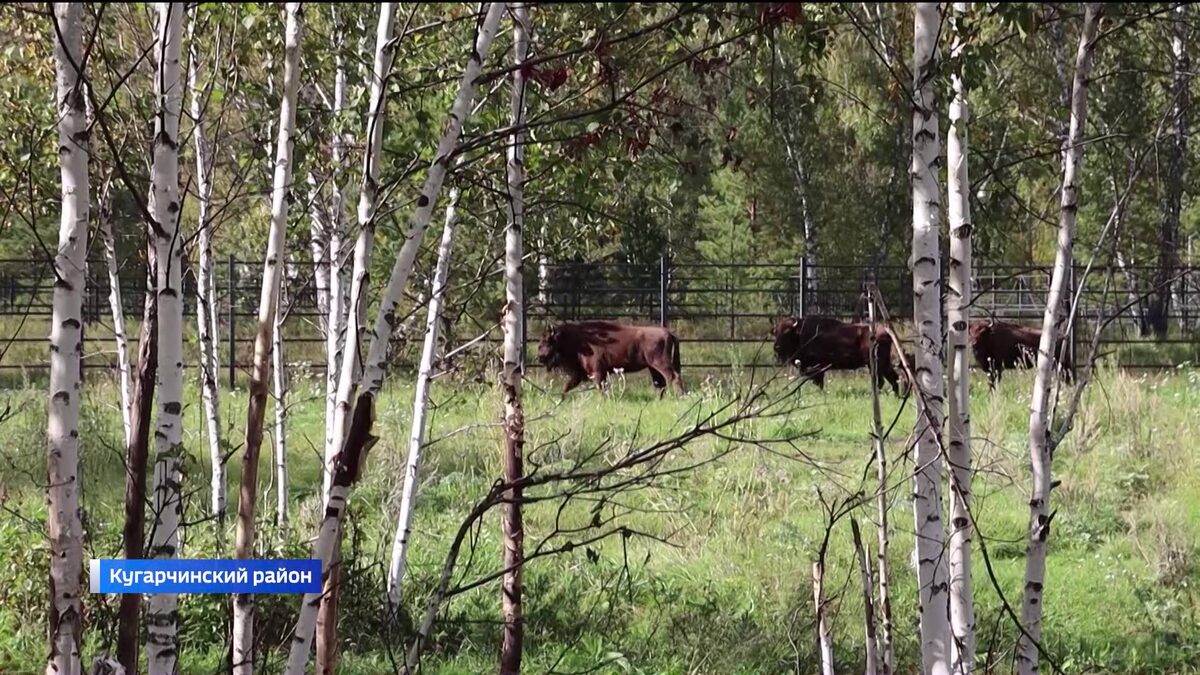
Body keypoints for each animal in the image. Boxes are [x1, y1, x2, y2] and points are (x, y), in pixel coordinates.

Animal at [537, 319, 686, 393]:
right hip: (652, 367)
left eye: (546, 342)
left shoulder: (598, 372)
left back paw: (681, 397)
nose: (538, 358)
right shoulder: (579, 374)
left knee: (673, 377)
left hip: (660, 363)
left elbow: (602, 389)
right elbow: (567, 387)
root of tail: (668, 333)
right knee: (660, 384)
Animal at [772, 314, 902, 393]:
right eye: (776, 332)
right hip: (884, 364)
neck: (800, 334)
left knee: (882, 380)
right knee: (893, 377)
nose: (776, 347)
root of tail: (885, 332)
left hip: (875, 364)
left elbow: (819, 382)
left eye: (787, 332)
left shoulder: (818, 368)